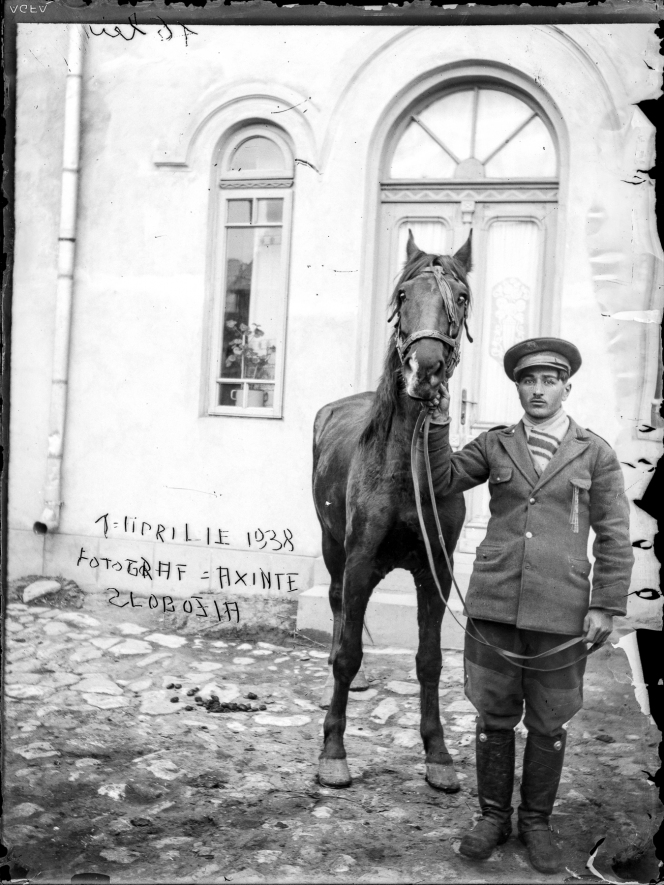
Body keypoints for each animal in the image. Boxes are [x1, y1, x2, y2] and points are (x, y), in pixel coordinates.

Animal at [312, 231, 472, 792]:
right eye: (403, 295)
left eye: (461, 297)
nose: (425, 370)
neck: (407, 465)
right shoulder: (360, 561)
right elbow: (348, 653)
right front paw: (333, 751)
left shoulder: (436, 571)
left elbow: (430, 661)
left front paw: (438, 755)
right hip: (332, 548)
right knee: (338, 612)